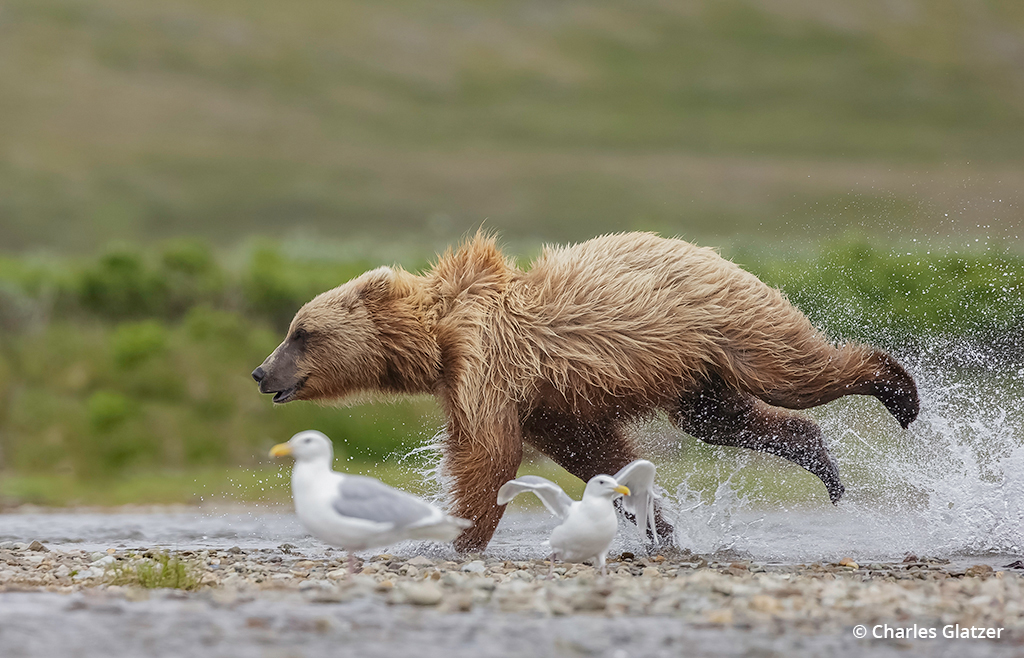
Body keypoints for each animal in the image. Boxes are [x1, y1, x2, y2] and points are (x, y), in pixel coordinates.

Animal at [253, 234, 921, 552]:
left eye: (301, 332)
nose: (261, 373)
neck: (438, 340)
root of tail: (712, 252)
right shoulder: (544, 401)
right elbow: (590, 449)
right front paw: (657, 523)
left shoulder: (489, 365)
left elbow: (488, 454)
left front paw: (456, 536)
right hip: (698, 373)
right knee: (723, 420)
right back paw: (823, 460)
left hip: (726, 324)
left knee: (793, 371)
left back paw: (900, 390)